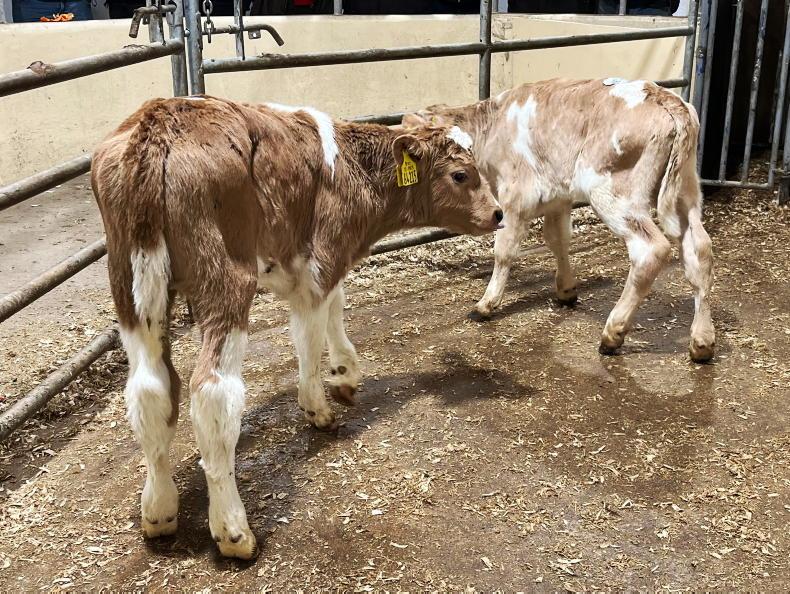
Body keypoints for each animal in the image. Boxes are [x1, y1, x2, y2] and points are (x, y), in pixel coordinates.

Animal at [91, 95, 501, 559]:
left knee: (151, 388)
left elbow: (335, 307)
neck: (353, 167)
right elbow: (309, 334)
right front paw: (318, 406)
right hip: (226, 278)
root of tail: (158, 119)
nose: (498, 213)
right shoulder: (323, 258)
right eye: (460, 174)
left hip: (128, 285)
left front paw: (345, 374)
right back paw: (234, 531)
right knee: (212, 391)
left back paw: (159, 511)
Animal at [403, 78, 715, 363]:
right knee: (699, 249)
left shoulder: (515, 197)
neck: (489, 127)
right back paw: (702, 342)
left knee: (650, 250)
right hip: (686, 192)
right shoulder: (557, 196)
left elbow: (504, 251)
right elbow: (558, 239)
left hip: (615, 194)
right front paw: (566, 290)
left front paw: (486, 304)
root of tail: (664, 97)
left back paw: (613, 333)